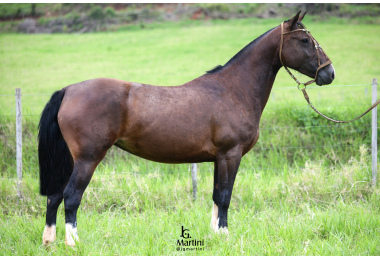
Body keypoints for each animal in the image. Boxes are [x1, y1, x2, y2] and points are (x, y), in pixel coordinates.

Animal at [39, 11, 336, 248]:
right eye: (304, 40)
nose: (329, 73)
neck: (233, 89)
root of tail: (68, 90)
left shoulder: (219, 158)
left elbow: (216, 195)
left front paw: (215, 235)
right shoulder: (231, 154)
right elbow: (225, 196)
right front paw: (225, 236)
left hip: (71, 160)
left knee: (54, 196)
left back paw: (49, 241)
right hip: (88, 159)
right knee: (71, 196)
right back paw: (73, 242)